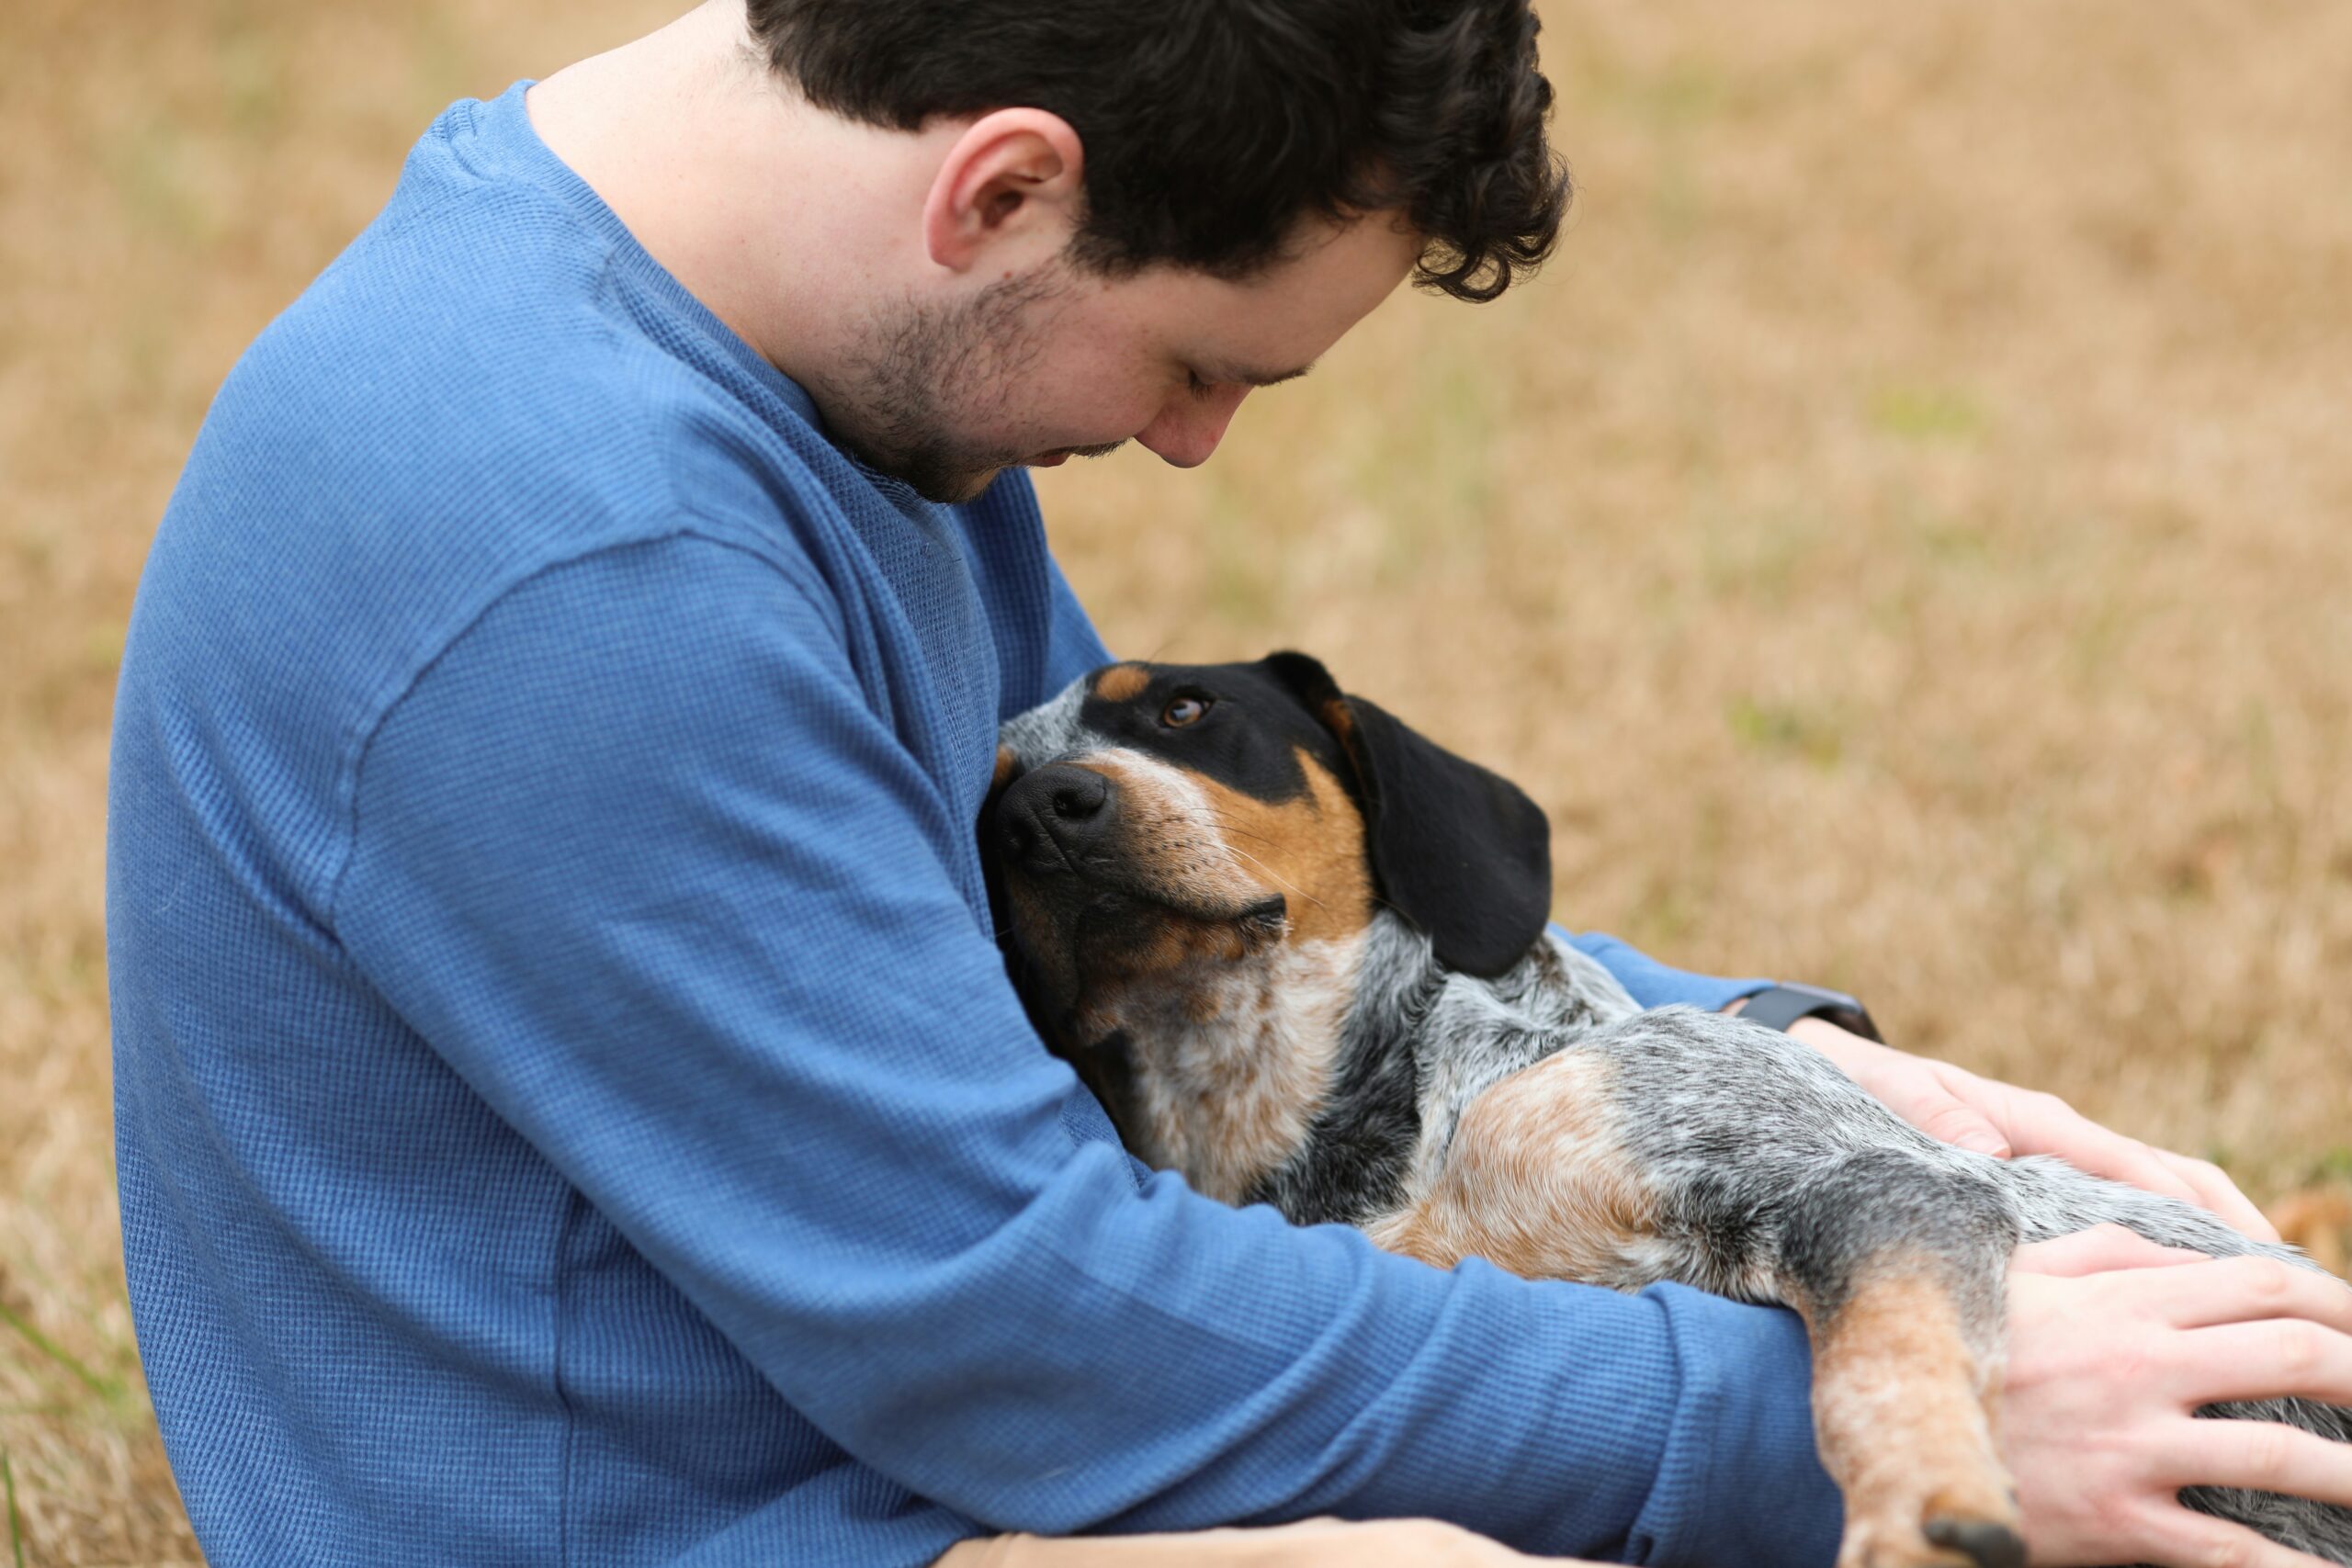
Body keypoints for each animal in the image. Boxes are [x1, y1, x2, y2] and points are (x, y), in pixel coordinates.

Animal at [983, 658, 2352, 1568]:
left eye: (1183, 710)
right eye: (993, 793)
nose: (1046, 809)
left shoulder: (1862, 1183)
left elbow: (1875, 1368)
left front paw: (1922, 1514)